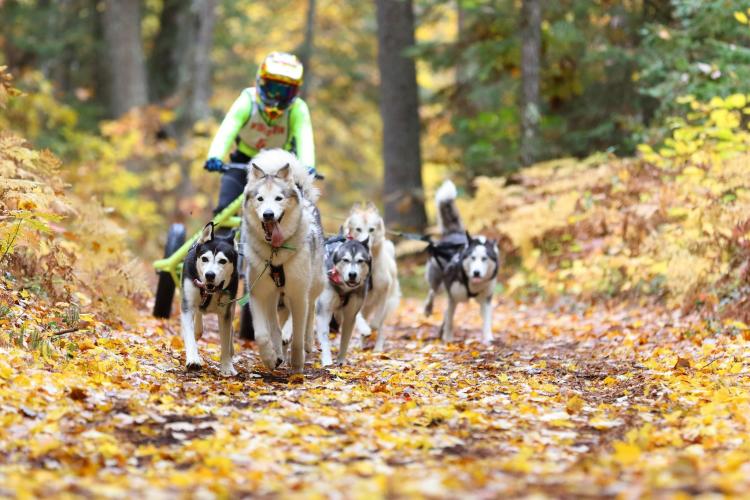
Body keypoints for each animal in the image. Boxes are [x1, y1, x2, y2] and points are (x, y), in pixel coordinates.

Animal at [181, 223, 239, 376]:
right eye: (204, 259)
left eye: (222, 261)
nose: (210, 275)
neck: (210, 292)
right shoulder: (187, 306)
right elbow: (189, 334)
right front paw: (193, 359)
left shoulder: (225, 311)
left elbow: (225, 339)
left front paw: (227, 366)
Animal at [241, 147, 324, 372]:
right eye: (260, 199)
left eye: (278, 198)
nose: (268, 215)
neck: (276, 253)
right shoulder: (258, 293)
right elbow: (263, 334)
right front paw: (271, 358)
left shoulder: (299, 294)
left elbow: (297, 332)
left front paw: (297, 365)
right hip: (274, 296)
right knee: (276, 325)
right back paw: (279, 351)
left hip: (314, 285)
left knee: (310, 312)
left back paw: (307, 343)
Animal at [318, 232, 374, 366]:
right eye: (345, 260)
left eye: (360, 261)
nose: (352, 274)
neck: (344, 289)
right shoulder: (324, 311)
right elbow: (324, 335)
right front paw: (327, 361)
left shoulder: (350, 314)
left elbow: (345, 339)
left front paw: (341, 361)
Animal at [346, 201, 402, 350]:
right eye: (358, 229)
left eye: (371, 229)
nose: (365, 242)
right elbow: (358, 318)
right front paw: (365, 329)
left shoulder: (383, 294)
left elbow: (377, 322)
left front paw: (371, 328)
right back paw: (361, 344)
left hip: (388, 303)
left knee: (381, 326)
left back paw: (378, 349)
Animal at [428, 180, 500, 344]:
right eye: (472, 258)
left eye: (484, 258)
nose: (476, 272)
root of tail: (454, 233)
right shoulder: (452, 297)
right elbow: (450, 319)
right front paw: (448, 338)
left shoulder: (486, 298)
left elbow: (487, 320)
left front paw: (488, 338)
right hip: (438, 280)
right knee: (433, 291)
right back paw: (427, 308)